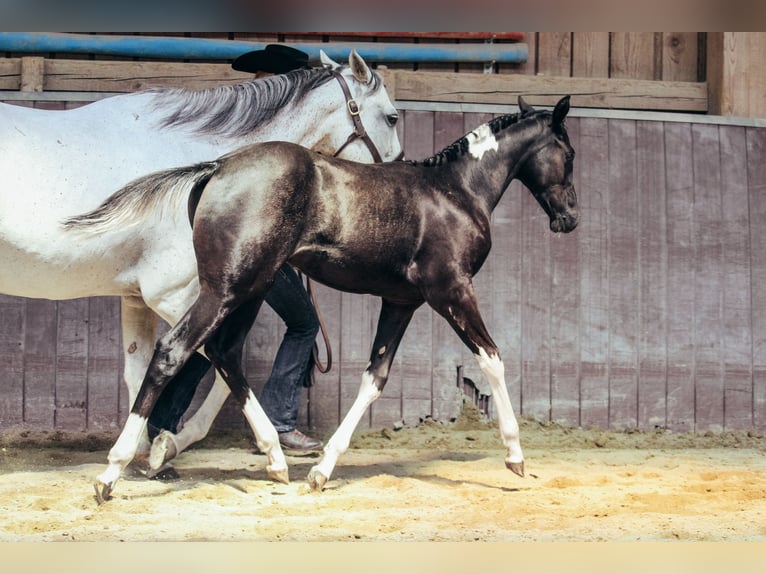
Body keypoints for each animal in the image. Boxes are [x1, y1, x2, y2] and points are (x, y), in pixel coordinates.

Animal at [0, 49, 402, 469]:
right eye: (392, 117)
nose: (398, 175)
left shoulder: (137, 298)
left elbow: (140, 370)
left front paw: (145, 449)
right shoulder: (176, 295)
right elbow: (215, 362)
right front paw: (173, 444)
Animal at [73, 94, 578, 503]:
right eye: (569, 154)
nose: (570, 218)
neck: (455, 192)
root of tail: (218, 166)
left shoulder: (401, 302)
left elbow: (374, 379)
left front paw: (321, 470)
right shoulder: (450, 289)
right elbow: (492, 359)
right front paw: (515, 456)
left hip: (251, 289)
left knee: (224, 352)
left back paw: (275, 461)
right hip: (227, 289)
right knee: (174, 351)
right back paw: (112, 473)